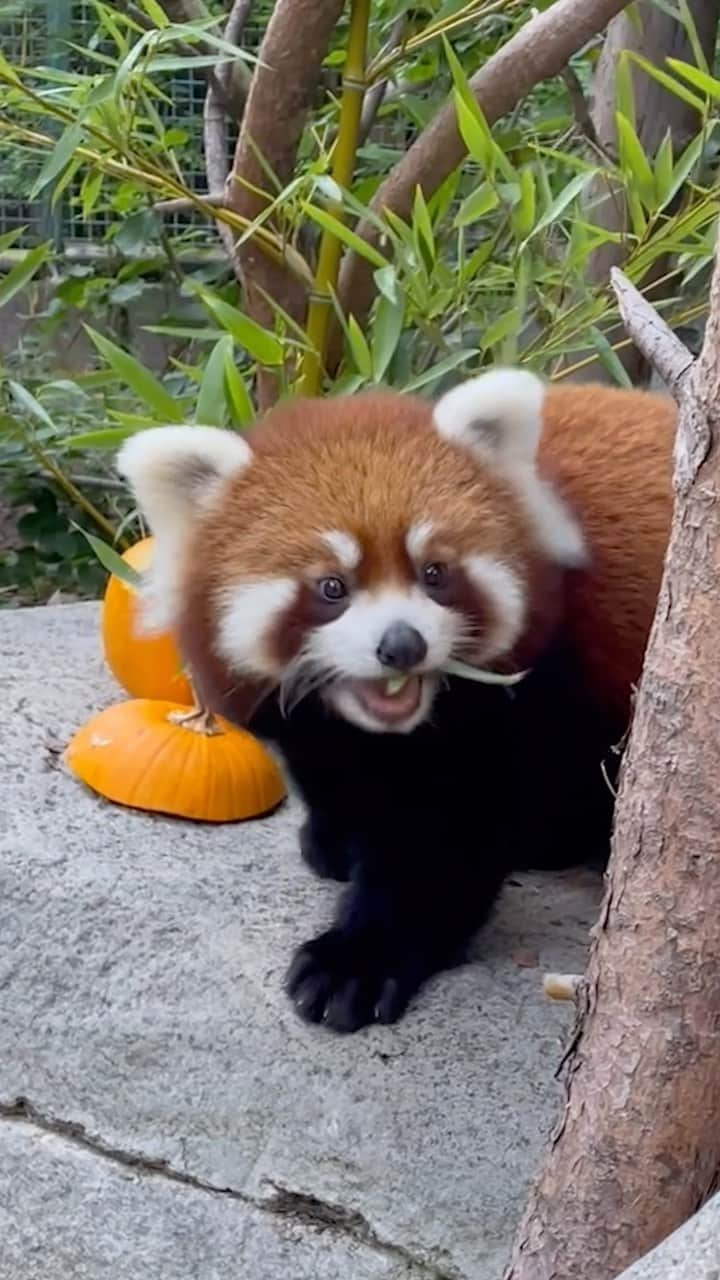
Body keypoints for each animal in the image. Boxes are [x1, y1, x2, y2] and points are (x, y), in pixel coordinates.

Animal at [116, 368, 671, 1029]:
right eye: (332, 587)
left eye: (434, 573)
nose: (402, 645)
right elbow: (330, 771)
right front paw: (334, 837)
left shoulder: (528, 696)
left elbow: (441, 847)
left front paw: (355, 961)